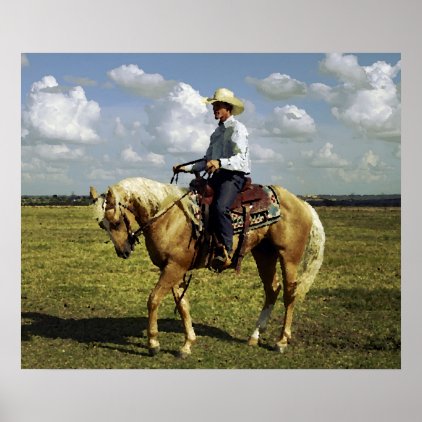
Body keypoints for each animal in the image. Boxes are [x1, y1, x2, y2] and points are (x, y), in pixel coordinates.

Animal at [90, 176, 326, 358]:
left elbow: (153, 299)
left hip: (289, 258)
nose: (123, 251)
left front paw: (153, 344)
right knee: (272, 289)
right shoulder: (174, 268)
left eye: (116, 222)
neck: (169, 217)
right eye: (102, 224)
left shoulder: (174, 267)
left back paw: (281, 341)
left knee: (289, 293)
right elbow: (183, 305)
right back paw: (254, 336)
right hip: (264, 254)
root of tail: (302, 203)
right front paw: (187, 345)